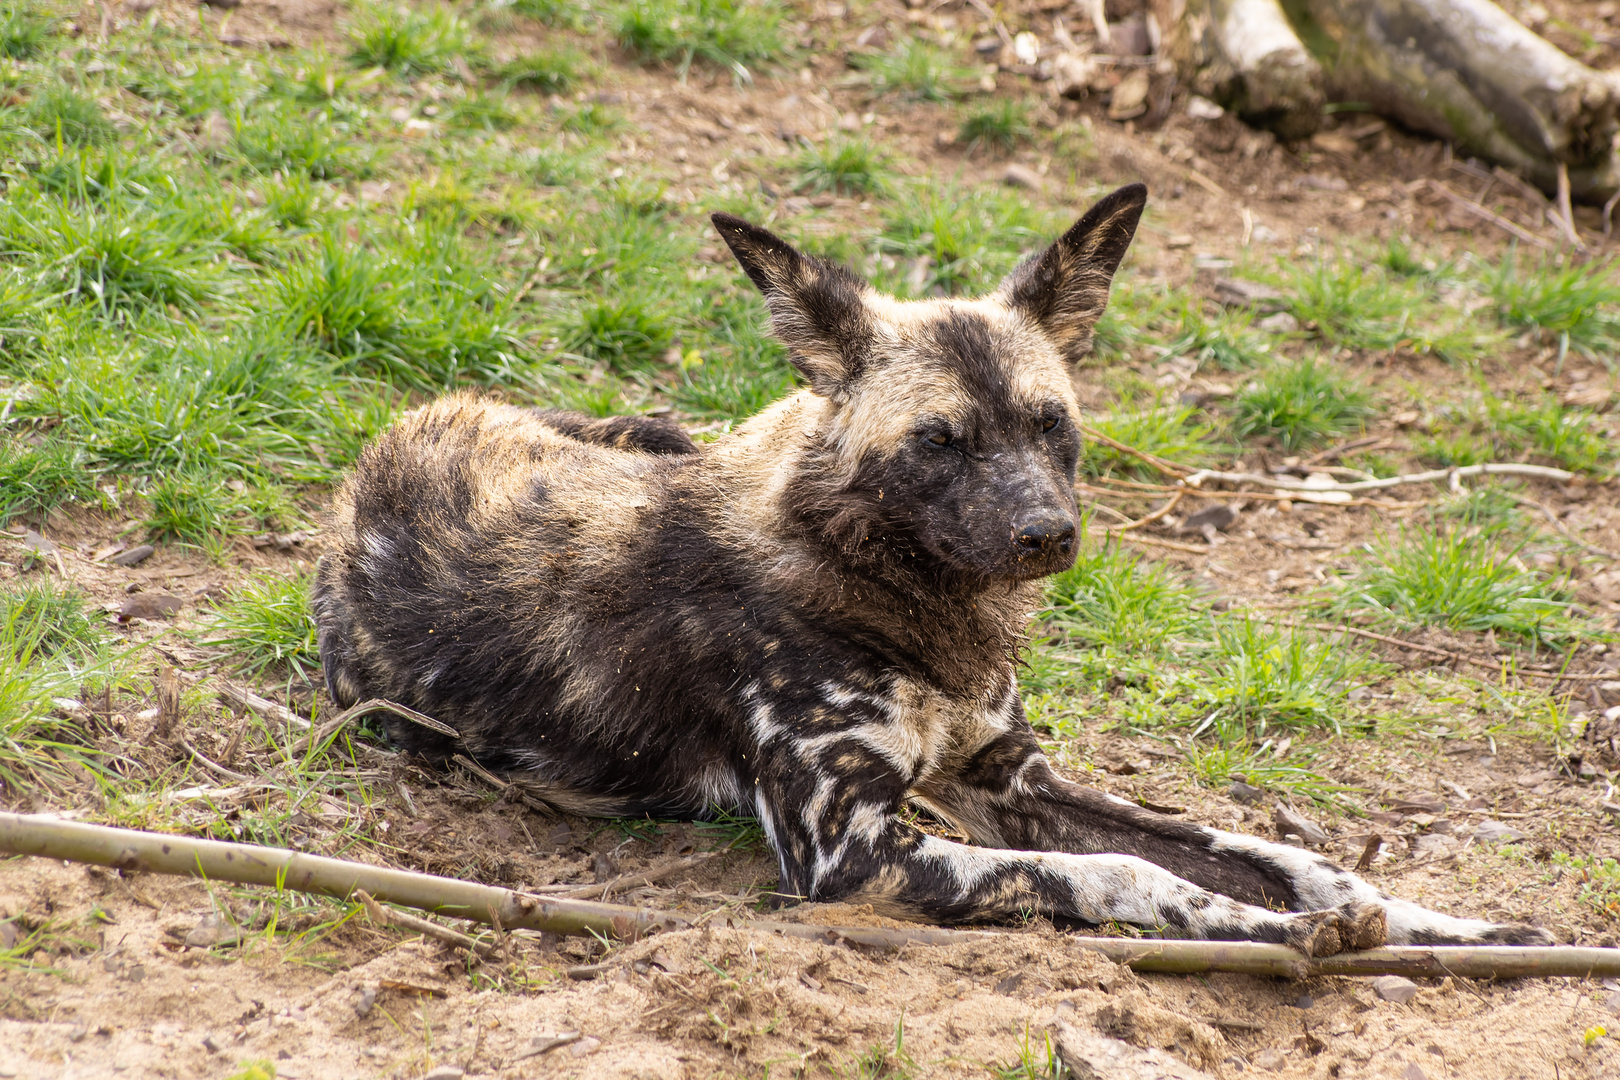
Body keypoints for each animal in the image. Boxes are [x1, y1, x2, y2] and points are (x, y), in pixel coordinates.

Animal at [312, 186, 1542, 952]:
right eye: (938, 442)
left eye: (1052, 424)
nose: (1047, 534)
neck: (913, 601)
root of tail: (393, 438)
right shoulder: (849, 855)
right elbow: (1134, 875)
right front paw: (1275, 933)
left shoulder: (1012, 781)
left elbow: (1271, 853)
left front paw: (1457, 928)